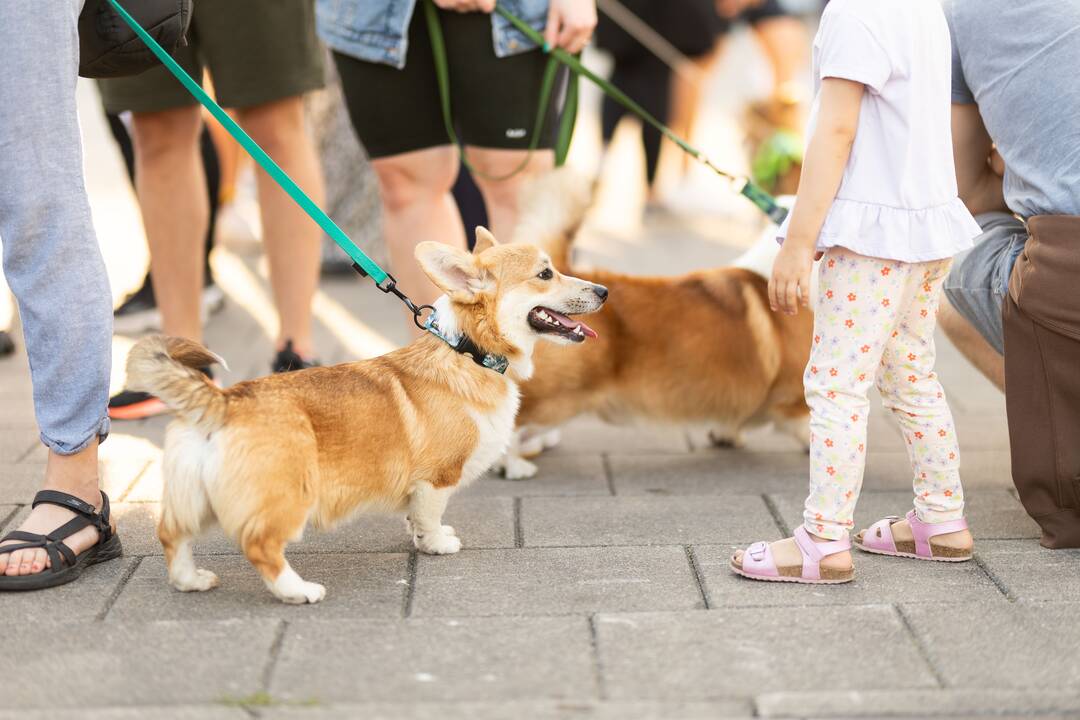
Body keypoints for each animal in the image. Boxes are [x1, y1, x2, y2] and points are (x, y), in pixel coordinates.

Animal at [124, 229, 609, 604]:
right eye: (545, 274)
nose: (604, 292)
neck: (468, 353)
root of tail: (223, 401)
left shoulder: (418, 487)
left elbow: (415, 516)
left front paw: (421, 539)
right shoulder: (438, 478)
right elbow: (430, 516)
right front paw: (438, 545)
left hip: (193, 499)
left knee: (172, 535)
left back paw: (190, 581)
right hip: (288, 499)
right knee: (260, 546)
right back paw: (298, 591)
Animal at [494, 170, 812, 479]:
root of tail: (560, 273)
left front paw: (727, 435)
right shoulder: (794, 398)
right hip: (559, 395)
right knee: (516, 416)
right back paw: (514, 466)